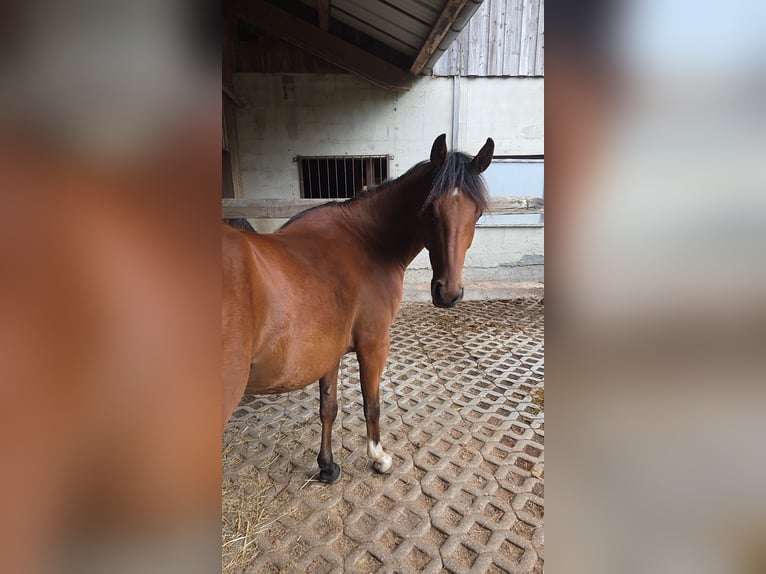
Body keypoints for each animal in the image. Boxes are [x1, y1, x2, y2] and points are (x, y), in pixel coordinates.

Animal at [222, 134, 494, 482]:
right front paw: (379, 458)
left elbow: (328, 407)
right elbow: (372, 404)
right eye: (430, 209)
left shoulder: (328, 351)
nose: (448, 293)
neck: (367, 241)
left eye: (477, 213)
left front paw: (327, 467)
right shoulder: (374, 344)